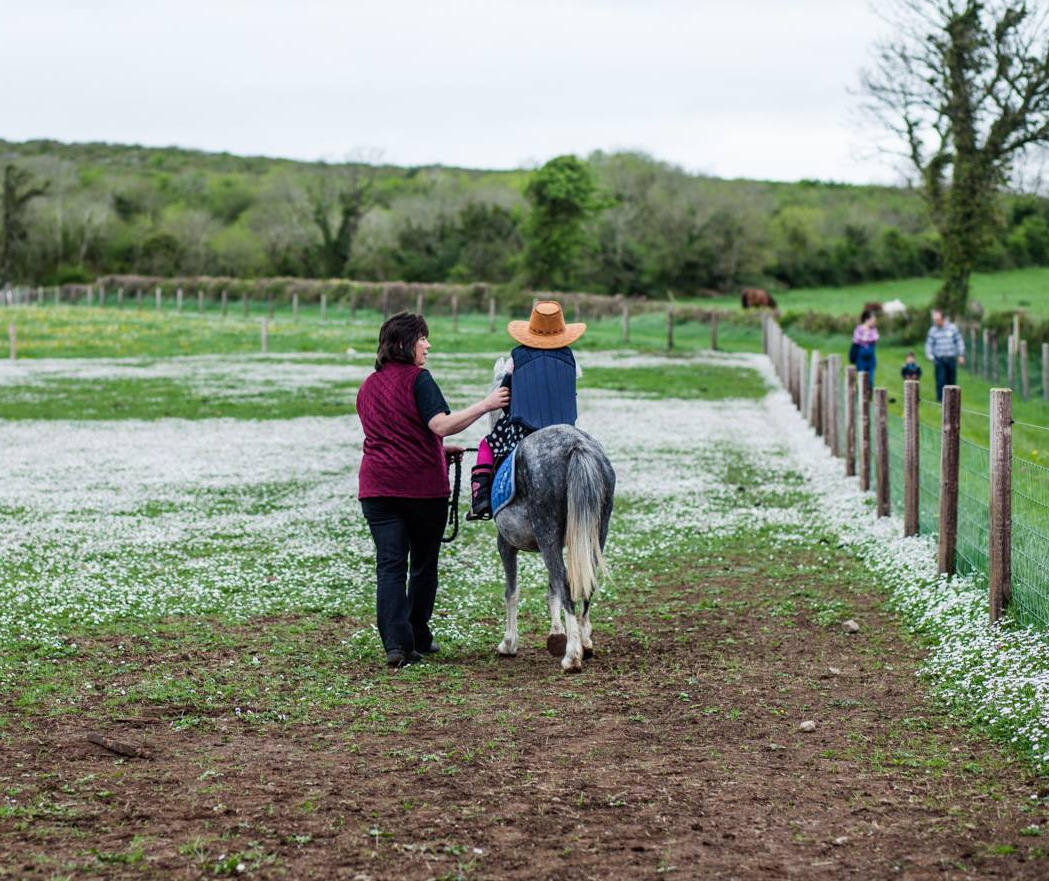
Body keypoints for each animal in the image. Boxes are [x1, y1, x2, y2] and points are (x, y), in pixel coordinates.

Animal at [490, 425, 612, 675]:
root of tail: (577, 445)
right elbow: (551, 590)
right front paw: (556, 633)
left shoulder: (505, 542)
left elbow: (511, 591)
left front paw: (508, 643)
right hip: (596, 533)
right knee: (586, 582)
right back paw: (585, 643)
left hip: (546, 531)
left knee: (565, 583)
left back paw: (572, 656)